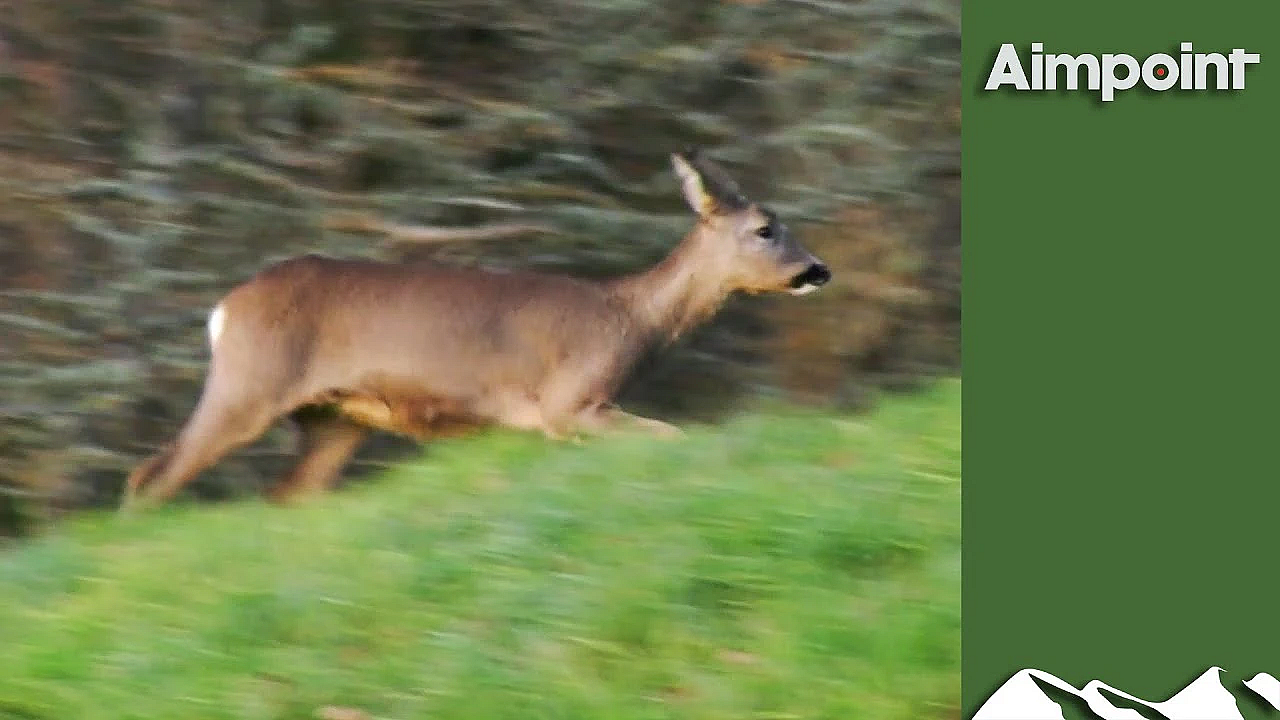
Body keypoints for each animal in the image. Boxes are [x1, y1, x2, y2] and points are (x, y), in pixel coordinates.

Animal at [121, 149, 832, 510]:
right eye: (765, 228)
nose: (818, 270)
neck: (629, 320)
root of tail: (224, 309)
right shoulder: (570, 401)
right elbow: (672, 436)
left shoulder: (558, 424)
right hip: (249, 384)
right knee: (152, 474)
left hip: (334, 417)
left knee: (287, 494)